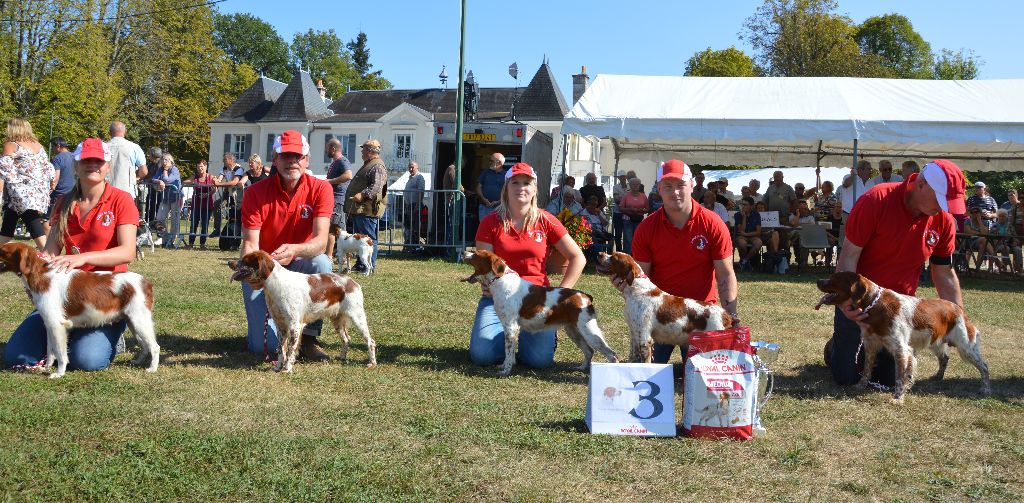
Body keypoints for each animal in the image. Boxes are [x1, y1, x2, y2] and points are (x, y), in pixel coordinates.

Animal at [0, 242, 159, 376]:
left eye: (3, 251)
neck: (42, 275)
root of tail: (146, 282)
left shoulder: (57, 325)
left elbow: (61, 353)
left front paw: (59, 373)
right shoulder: (49, 324)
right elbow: (50, 351)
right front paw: (45, 367)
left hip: (139, 320)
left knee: (154, 347)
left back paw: (152, 368)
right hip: (132, 321)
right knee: (144, 345)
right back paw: (137, 361)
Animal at [228, 249, 376, 372]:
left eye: (245, 260)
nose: (230, 262)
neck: (275, 286)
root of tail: (353, 282)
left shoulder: (295, 326)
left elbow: (290, 350)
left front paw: (287, 369)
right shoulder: (280, 326)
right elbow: (281, 350)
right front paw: (278, 367)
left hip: (357, 316)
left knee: (370, 341)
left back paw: (372, 363)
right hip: (337, 320)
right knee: (346, 339)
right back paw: (342, 357)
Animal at [462, 249, 618, 376]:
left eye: (475, 254)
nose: (463, 252)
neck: (500, 282)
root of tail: (586, 297)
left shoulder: (511, 326)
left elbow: (508, 351)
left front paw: (506, 370)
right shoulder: (512, 327)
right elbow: (509, 353)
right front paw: (505, 365)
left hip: (588, 330)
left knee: (611, 354)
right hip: (574, 330)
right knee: (589, 351)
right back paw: (581, 367)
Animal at [598, 254, 733, 364]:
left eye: (614, 258)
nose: (600, 254)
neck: (636, 290)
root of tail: (726, 315)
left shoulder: (645, 338)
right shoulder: (634, 333)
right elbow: (632, 356)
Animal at [815, 272, 991, 405]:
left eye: (834, 278)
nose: (818, 280)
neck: (874, 305)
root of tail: (959, 309)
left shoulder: (901, 350)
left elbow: (899, 377)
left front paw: (898, 398)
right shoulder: (871, 345)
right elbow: (866, 370)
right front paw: (860, 386)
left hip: (966, 347)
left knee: (984, 366)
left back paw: (985, 389)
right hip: (936, 342)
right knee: (945, 358)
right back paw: (938, 377)